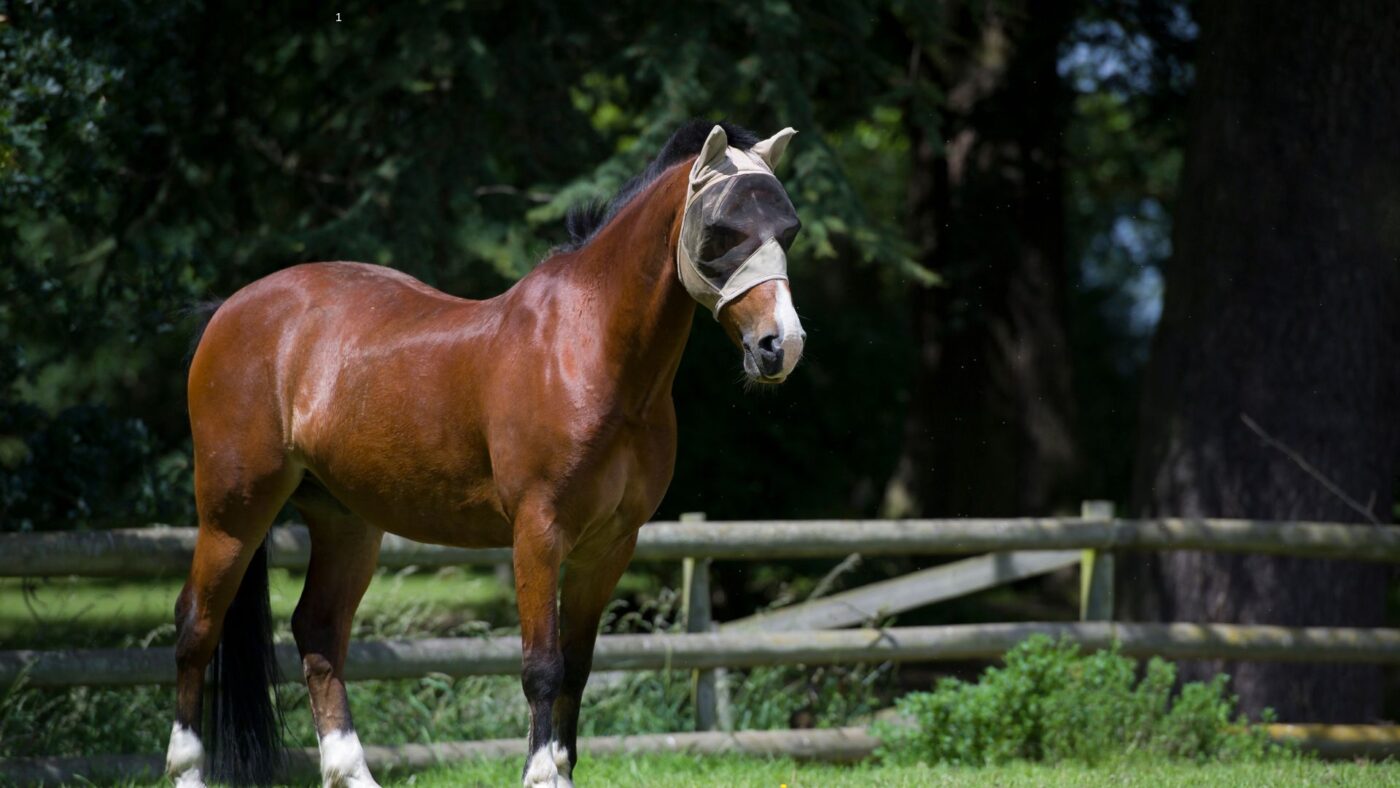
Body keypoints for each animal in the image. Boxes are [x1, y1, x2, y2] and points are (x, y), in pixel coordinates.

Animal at [165, 120, 806, 787]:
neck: (590, 352)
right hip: (233, 513)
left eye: (788, 231)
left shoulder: (609, 546)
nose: (779, 346)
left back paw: (350, 771)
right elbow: (542, 666)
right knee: (195, 626)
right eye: (721, 231)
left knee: (317, 631)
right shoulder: (538, 533)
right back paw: (188, 769)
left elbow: (578, 667)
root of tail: (227, 311)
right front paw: (541, 774)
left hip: (345, 522)